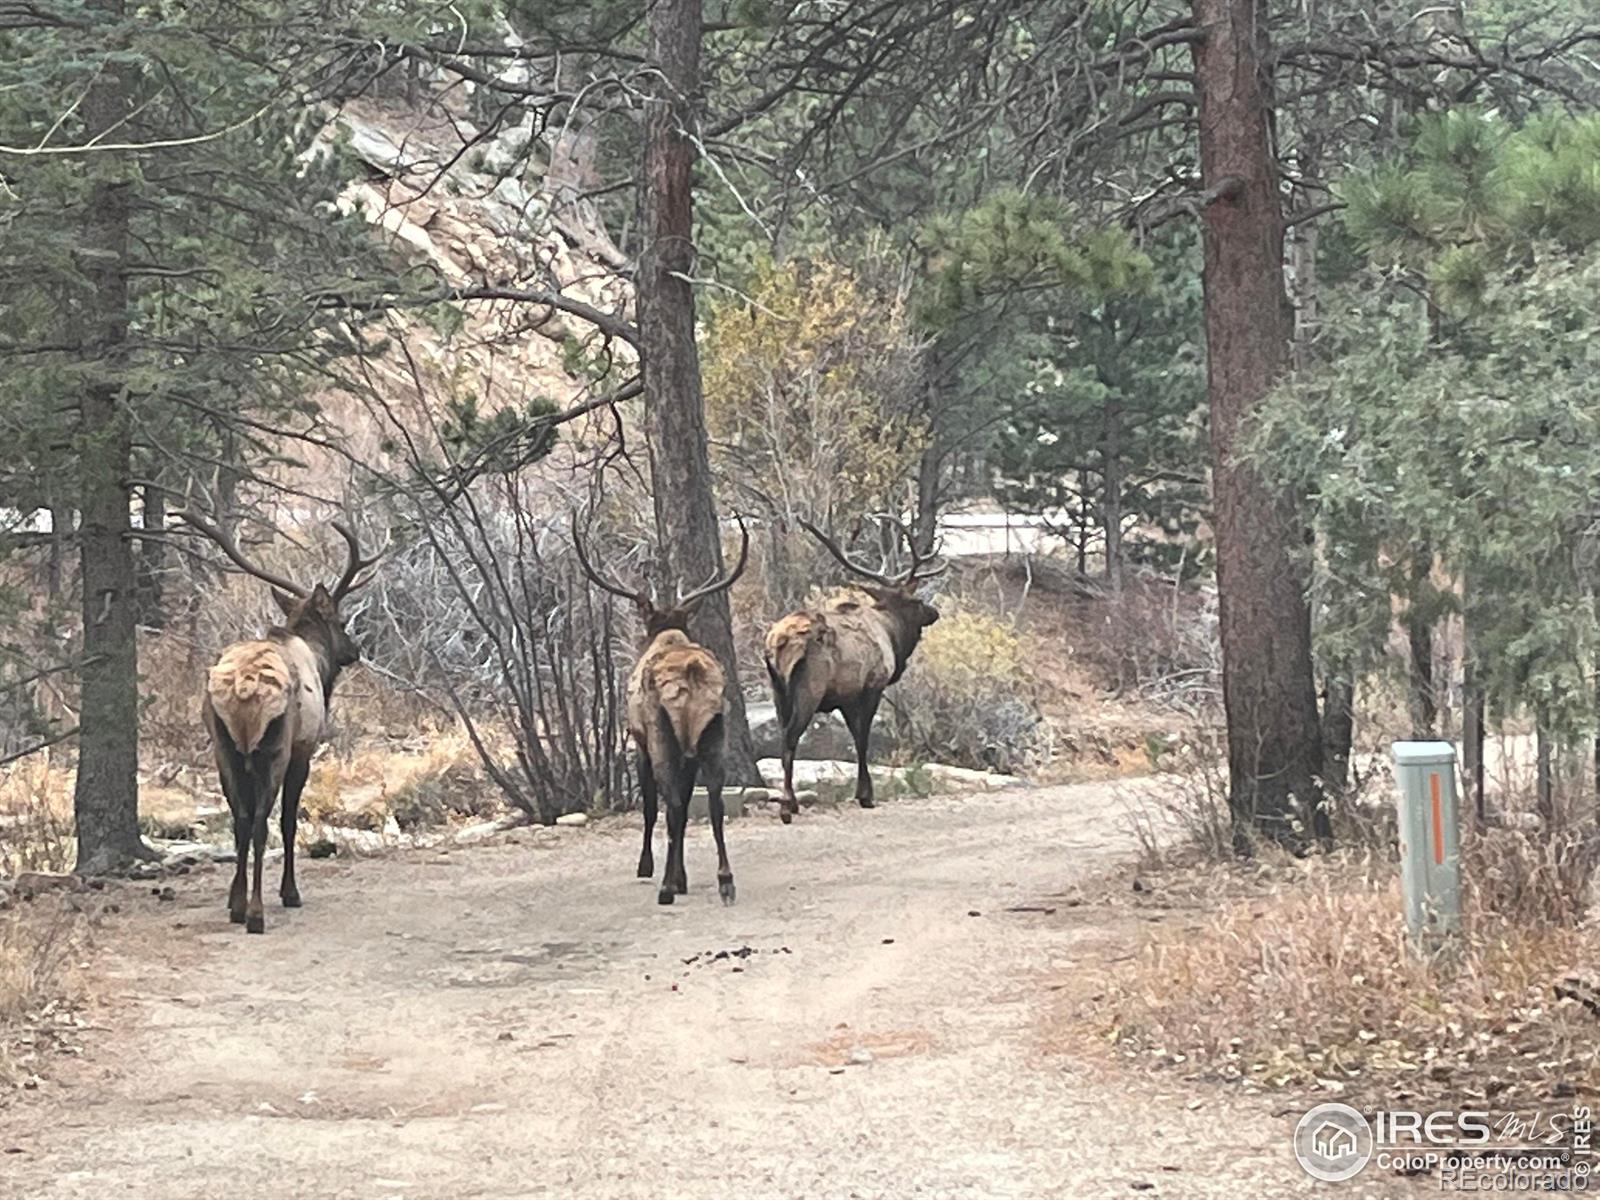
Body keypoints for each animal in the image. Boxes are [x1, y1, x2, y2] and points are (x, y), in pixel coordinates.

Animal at [185, 512, 382, 934]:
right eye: (341, 620)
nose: (355, 651)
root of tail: (243, 688)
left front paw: (236, 898)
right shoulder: (303, 751)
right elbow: (290, 820)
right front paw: (290, 892)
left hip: (224, 749)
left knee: (240, 819)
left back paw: (237, 904)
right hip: (273, 748)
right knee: (261, 822)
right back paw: (256, 913)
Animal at [572, 521, 752, 908]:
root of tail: (691, 674)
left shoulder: (638, 740)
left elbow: (654, 808)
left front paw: (653, 869)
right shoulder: (691, 751)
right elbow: (687, 809)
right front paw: (682, 877)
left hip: (661, 736)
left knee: (670, 804)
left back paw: (666, 888)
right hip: (713, 736)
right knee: (714, 802)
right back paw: (725, 881)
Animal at [758, 521, 934, 825]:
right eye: (916, 601)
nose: (934, 612)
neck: (892, 636)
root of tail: (779, 641)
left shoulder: (846, 697)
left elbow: (855, 736)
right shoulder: (872, 686)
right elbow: (863, 738)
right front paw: (866, 796)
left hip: (777, 689)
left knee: (782, 737)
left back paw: (791, 802)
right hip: (809, 688)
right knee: (791, 736)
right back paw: (787, 808)